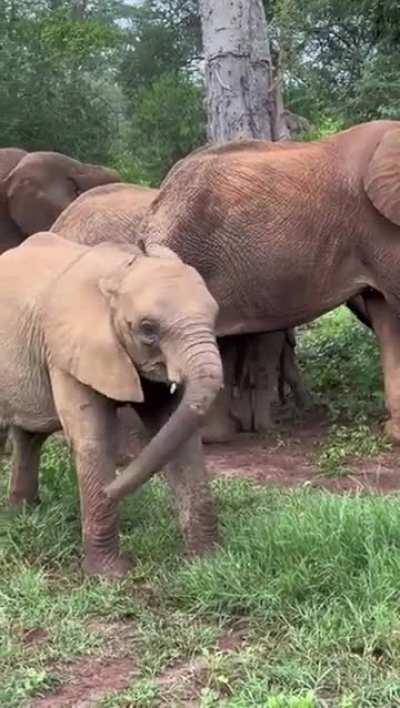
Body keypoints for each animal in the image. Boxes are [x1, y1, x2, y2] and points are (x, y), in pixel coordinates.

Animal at [0, 235, 222, 580]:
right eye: (147, 329)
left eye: (215, 315)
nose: (110, 490)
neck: (120, 269)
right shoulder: (66, 351)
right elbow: (93, 440)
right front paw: (110, 576)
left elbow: (178, 437)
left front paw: (205, 562)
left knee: (29, 436)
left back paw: (22, 514)